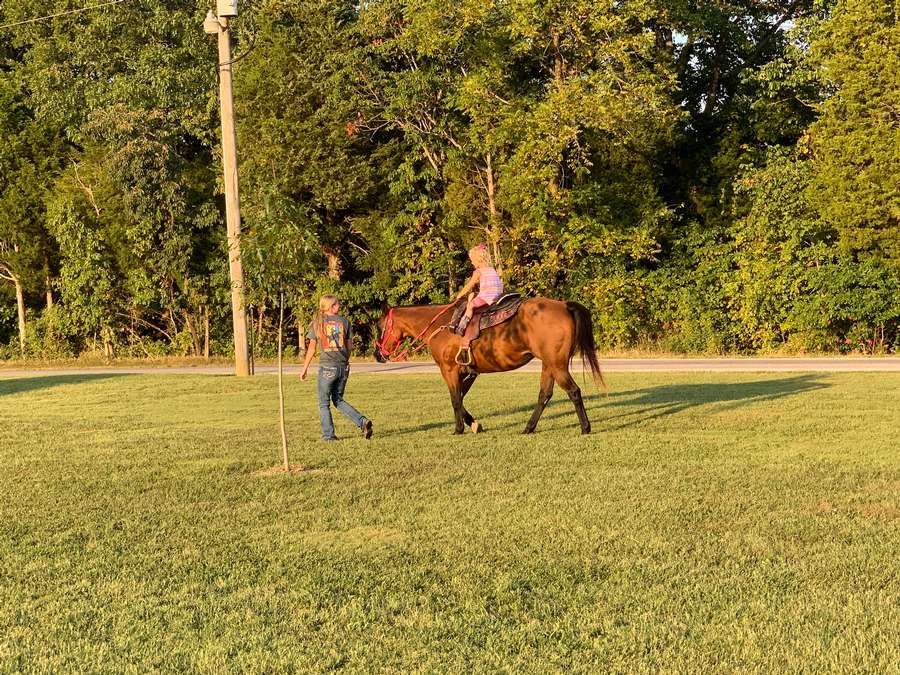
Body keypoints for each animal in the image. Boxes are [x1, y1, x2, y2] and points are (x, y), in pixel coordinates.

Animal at [372, 298, 604, 436]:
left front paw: (459, 429)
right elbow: (461, 399)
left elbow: (455, 399)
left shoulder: (449, 370)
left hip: (557, 364)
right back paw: (528, 428)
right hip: (549, 365)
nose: (377, 354)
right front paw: (473, 424)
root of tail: (564, 305)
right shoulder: (469, 372)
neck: (441, 327)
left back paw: (585, 428)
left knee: (573, 391)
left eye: (381, 326)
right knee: (544, 395)